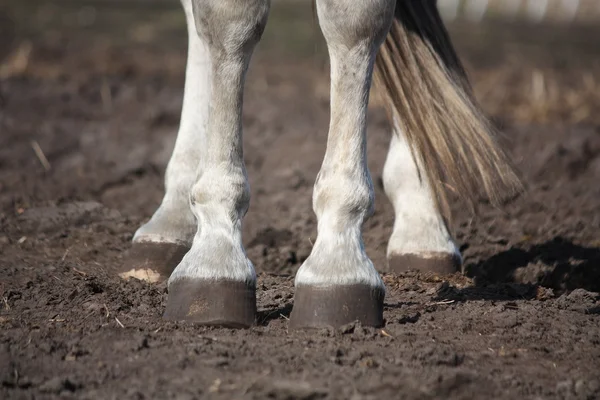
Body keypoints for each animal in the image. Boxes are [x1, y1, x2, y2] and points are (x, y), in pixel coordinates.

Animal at [116, 0, 520, 330]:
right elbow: (226, 19)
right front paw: (213, 255)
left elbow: (353, 22)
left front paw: (337, 265)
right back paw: (172, 216)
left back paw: (422, 221)